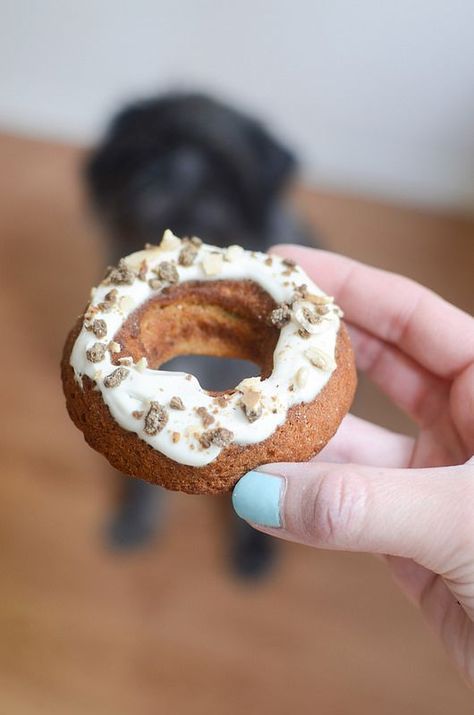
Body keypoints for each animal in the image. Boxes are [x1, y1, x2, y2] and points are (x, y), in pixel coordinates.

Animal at [85, 91, 314, 580]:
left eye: (222, 164)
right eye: (145, 148)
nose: (174, 169)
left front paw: (254, 543)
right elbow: (141, 482)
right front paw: (134, 520)